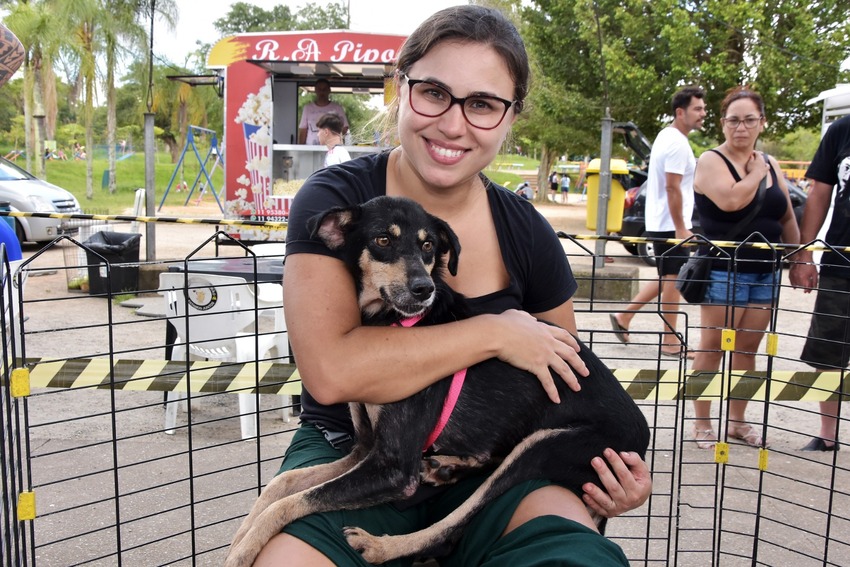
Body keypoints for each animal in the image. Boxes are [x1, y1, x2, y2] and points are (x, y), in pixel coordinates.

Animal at [225, 196, 648, 567]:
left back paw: (381, 545)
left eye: (428, 245)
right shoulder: (364, 449)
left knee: (453, 528)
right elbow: (281, 485)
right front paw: (240, 536)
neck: (393, 323)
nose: (423, 289)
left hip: (546, 447)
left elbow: (291, 502)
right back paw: (448, 466)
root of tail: (642, 442)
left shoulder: (392, 468)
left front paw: (243, 552)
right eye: (382, 240)